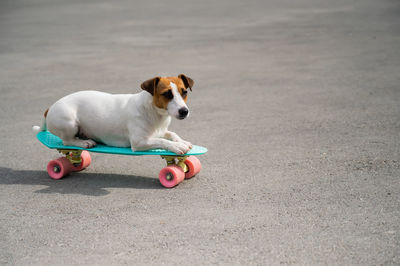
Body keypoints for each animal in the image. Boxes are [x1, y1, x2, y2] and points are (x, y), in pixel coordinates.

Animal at [32, 74, 194, 155]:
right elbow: (162, 141)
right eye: (167, 94)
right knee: (67, 141)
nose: (184, 111)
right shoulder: (139, 142)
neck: (152, 110)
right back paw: (83, 142)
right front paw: (177, 146)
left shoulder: (160, 131)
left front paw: (182, 141)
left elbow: (171, 134)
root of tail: (49, 108)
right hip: (69, 122)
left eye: (184, 92)